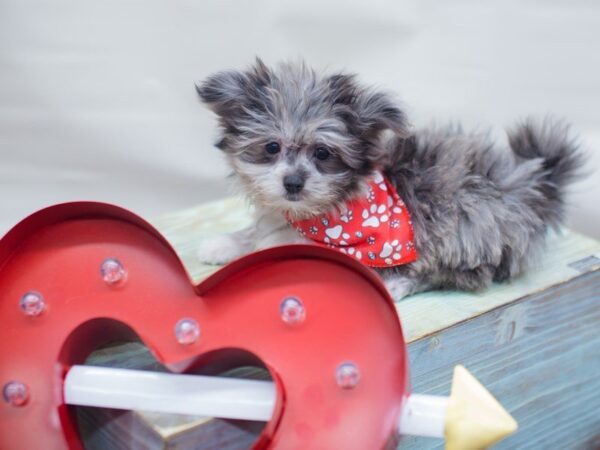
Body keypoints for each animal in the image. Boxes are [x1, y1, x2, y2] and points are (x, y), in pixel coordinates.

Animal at [196, 59, 580, 298]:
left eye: (323, 153)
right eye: (272, 147)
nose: (293, 183)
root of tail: (531, 186)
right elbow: (260, 231)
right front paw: (228, 243)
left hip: (462, 220)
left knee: (458, 273)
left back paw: (397, 284)